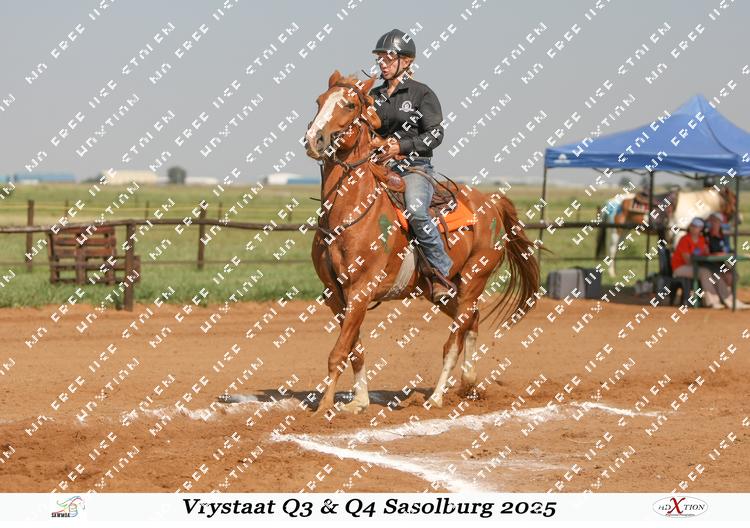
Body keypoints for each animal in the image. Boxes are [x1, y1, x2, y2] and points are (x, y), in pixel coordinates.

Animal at [303, 70, 540, 417]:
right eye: (319, 101)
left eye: (349, 104)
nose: (313, 139)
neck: (350, 212)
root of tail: (491, 202)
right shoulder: (336, 294)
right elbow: (354, 349)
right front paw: (359, 402)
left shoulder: (361, 289)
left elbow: (338, 352)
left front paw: (324, 407)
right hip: (440, 291)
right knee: (472, 322)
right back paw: (469, 384)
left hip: (474, 279)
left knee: (454, 338)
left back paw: (437, 397)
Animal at [596, 186, 739, 277]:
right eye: (734, 200)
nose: (739, 219)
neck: (694, 206)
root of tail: (610, 202)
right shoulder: (679, 234)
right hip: (615, 230)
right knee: (612, 250)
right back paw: (612, 274)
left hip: (624, 230)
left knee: (615, 249)